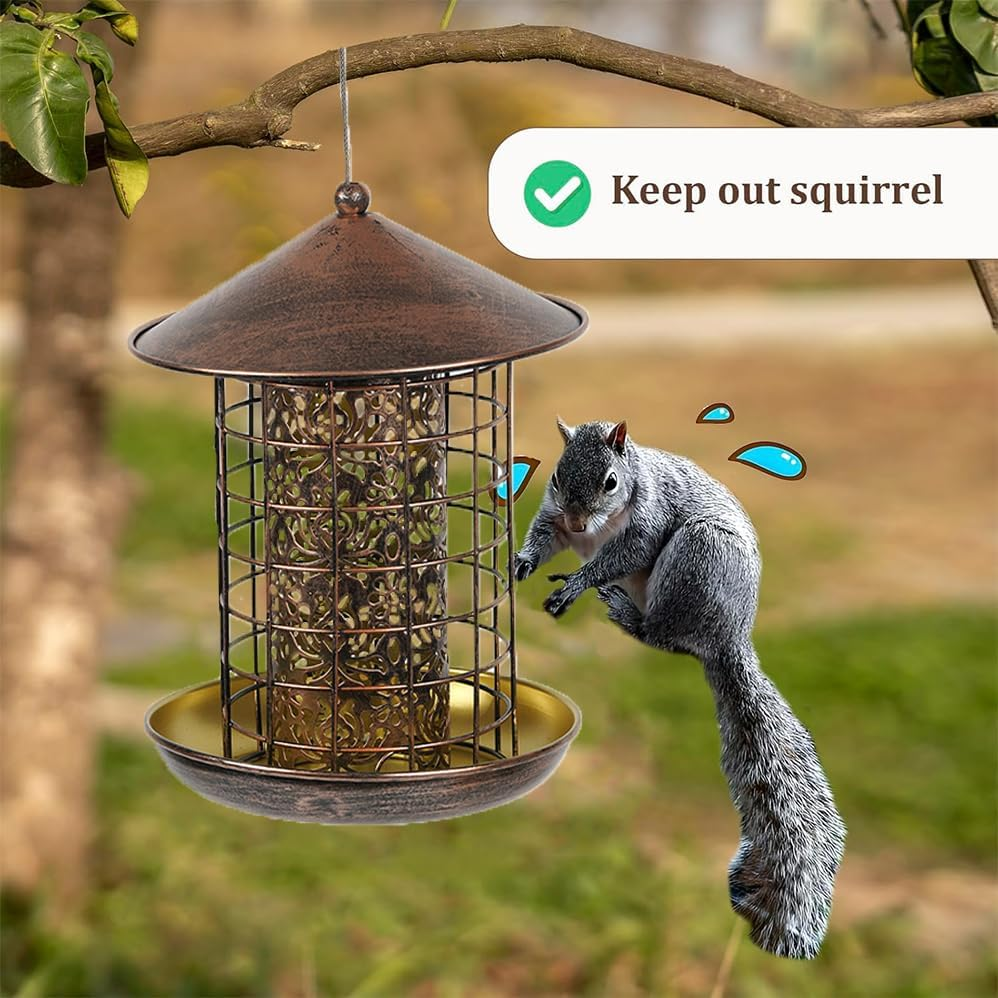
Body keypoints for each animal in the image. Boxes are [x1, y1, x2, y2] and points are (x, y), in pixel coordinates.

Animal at [514, 418, 846, 960]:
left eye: (610, 481)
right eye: (558, 476)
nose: (580, 525)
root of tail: (727, 636)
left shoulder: (650, 518)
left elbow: (624, 552)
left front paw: (578, 583)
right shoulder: (554, 516)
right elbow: (544, 535)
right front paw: (522, 560)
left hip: (697, 558)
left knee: (662, 636)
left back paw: (625, 612)